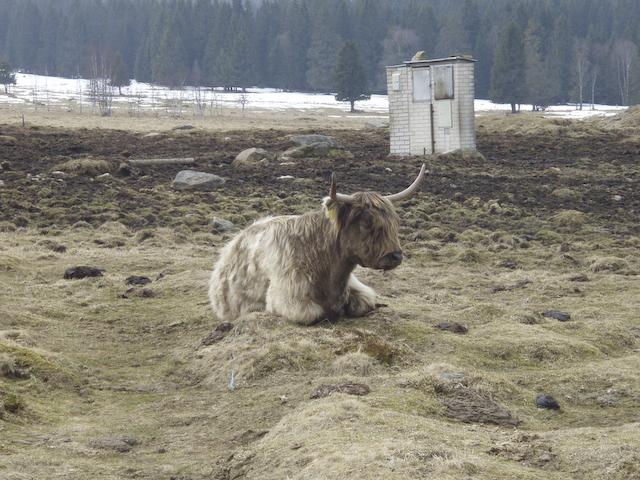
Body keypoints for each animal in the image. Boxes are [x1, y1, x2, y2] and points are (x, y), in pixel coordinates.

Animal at [208, 164, 426, 325]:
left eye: (395, 222)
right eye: (366, 223)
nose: (395, 256)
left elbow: (365, 302)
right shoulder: (287, 300)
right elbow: (315, 313)